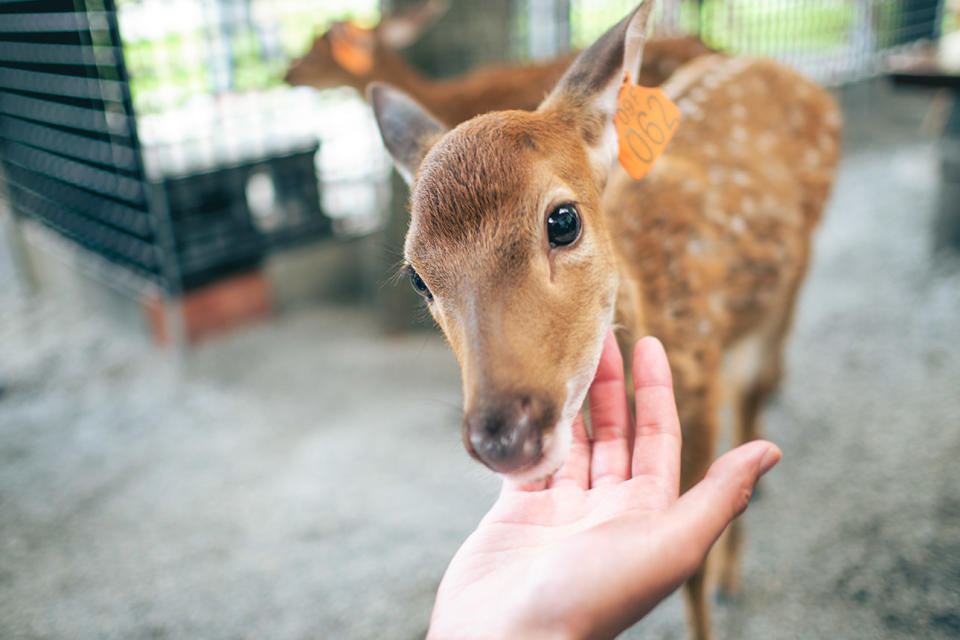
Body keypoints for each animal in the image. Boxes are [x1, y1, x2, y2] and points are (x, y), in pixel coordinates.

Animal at [368, 1, 840, 640]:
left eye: (563, 219)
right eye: (419, 276)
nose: (504, 438)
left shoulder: (700, 391)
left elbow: (691, 568)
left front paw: (713, 586)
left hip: (795, 273)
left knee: (757, 384)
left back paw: (733, 572)